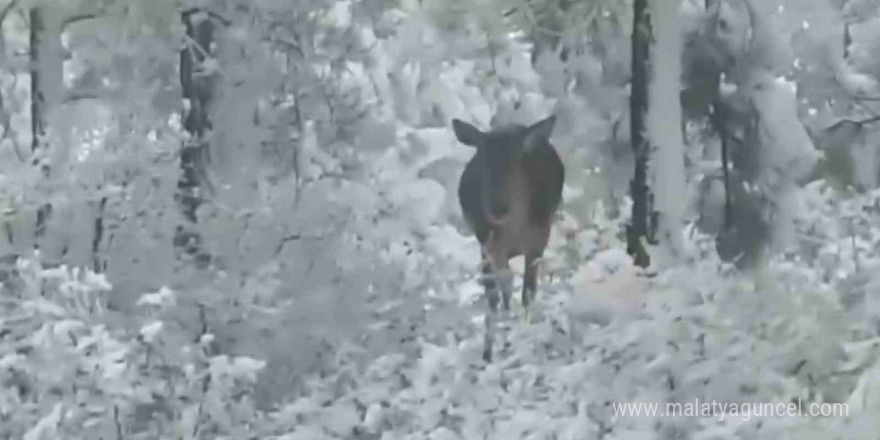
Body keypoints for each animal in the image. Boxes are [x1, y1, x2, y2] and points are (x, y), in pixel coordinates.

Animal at [450, 116, 568, 360]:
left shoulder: (538, 241)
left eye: (516, 163)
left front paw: (525, 336)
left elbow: (528, 292)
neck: (515, 230)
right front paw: (488, 353)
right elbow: (494, 297)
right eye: (483, 164)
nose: (498, 207)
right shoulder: (487, 245)